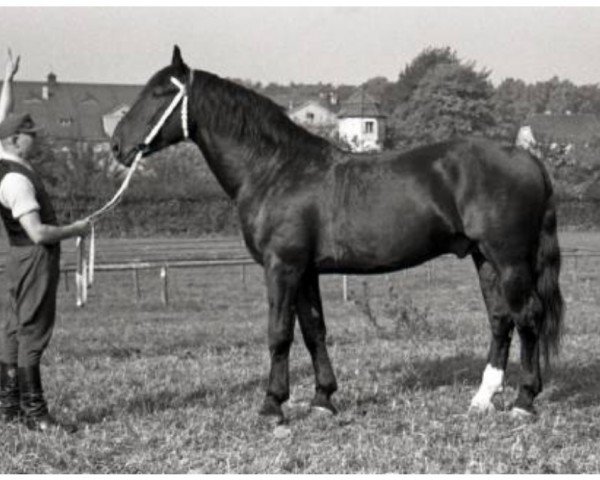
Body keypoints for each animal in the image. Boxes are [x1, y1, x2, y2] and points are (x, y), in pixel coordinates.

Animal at [111, 47, 564, 422]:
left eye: (158, 93)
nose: (117, 145)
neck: (275, 169)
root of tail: (527, 158)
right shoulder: (305, 270)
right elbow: (314, 331)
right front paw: (322, 400)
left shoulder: (282, 267)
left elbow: (279, 333)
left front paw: (272, 406)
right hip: (483, 257)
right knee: (501, 319)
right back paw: (483, 399)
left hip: (508, 259)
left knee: (528, 316)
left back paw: (524, 402)